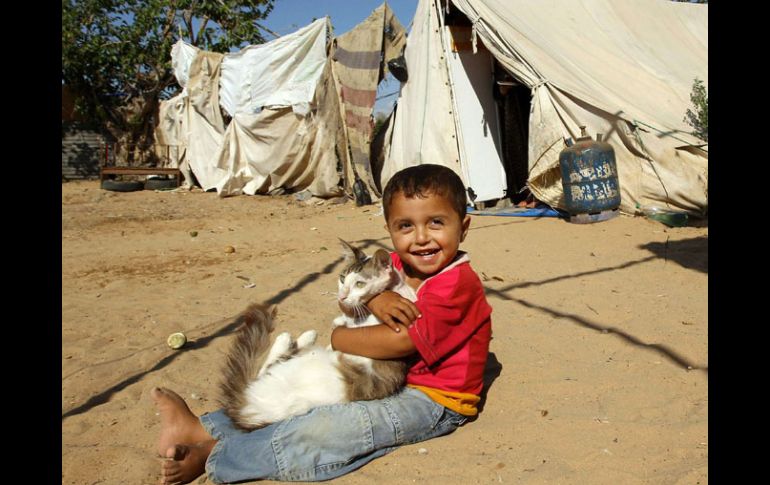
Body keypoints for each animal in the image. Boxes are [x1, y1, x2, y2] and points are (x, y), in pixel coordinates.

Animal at [219, 238, 416, 428]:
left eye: (360, 284)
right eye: (342, 278)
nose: (341, 297)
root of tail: (247, 411)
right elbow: (344, 321)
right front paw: (340, 319)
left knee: (266, 367)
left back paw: (292, 339)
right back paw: (305, 337)